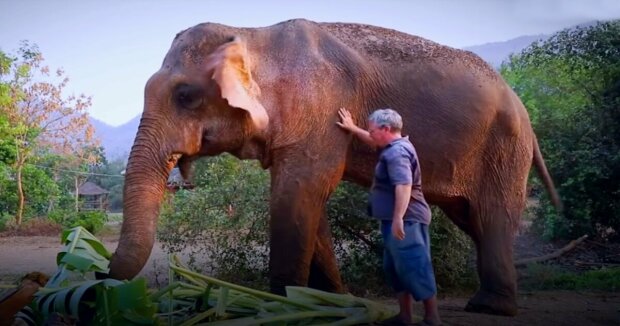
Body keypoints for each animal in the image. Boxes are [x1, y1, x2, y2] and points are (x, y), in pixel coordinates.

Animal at [106, 18, 560, 316]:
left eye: (185, 96)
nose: (100, 283)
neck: (253, 34)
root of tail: (521, 106)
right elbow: (310, 204)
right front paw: (333, 300)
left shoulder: (318, 111)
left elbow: (297, 196)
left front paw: (281, 305)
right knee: (474, 220)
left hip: (505, 149)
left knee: (492, 216)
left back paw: (489, 308)